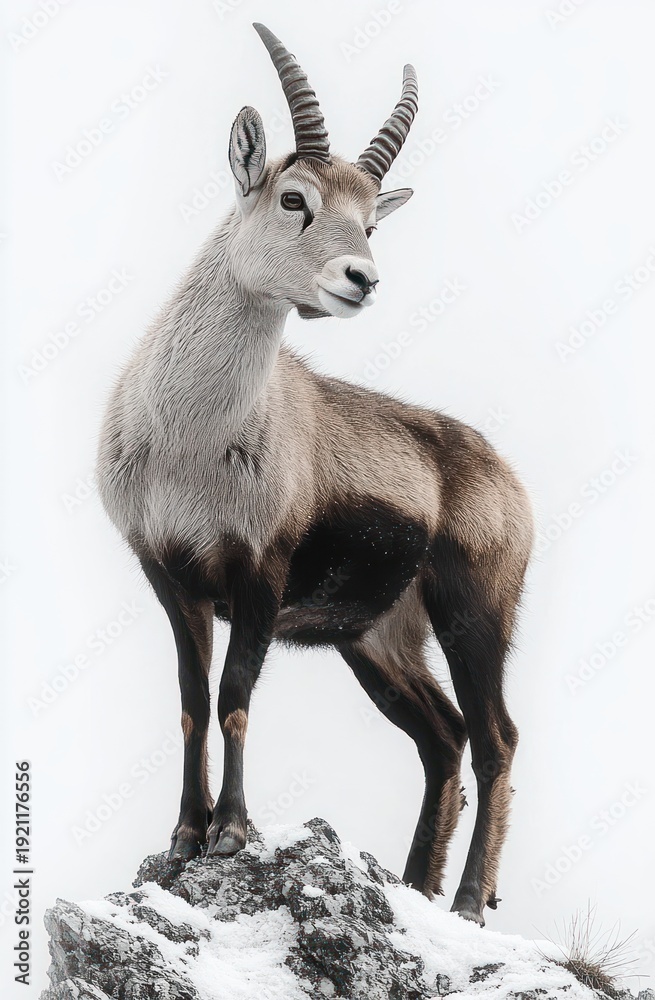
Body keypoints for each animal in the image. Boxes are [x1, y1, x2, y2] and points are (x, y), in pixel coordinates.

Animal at [97, 23, 533, 925]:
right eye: (293, 197)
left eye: (370, 221)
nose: (358, 280)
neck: (189, 439)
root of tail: (499, 470)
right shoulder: (171, 576)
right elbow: (191, 703)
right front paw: (182, 838)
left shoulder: (258, 574)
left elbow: (234, 695)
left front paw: (232, 833)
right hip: (375, 641)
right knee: (443, 738)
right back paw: (414, 886)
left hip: (473, 614)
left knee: (495, 737)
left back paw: (469, 903)